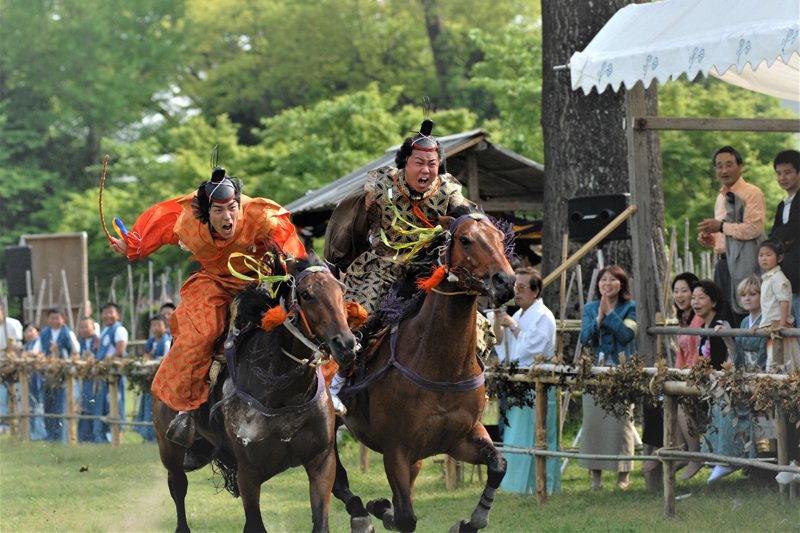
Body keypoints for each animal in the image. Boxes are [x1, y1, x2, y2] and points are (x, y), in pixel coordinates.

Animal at [152, 255, 356, 532]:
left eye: (341, 290)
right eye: (306, 294)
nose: (346, 345)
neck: (284, 393)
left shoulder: (321, 461)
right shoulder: (248, 473)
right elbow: (255, 523)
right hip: (170, 452)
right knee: (178, 487)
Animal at [334, 207, 516, 532]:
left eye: (498, 236)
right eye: (466, 240)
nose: (504, 281)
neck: (441, 366)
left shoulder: (460, 436)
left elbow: (498, 464)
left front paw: (471, 521)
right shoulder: (395, 449)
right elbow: (407, 517)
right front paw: (380, 509)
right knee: (334, 475)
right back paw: (360, 514)